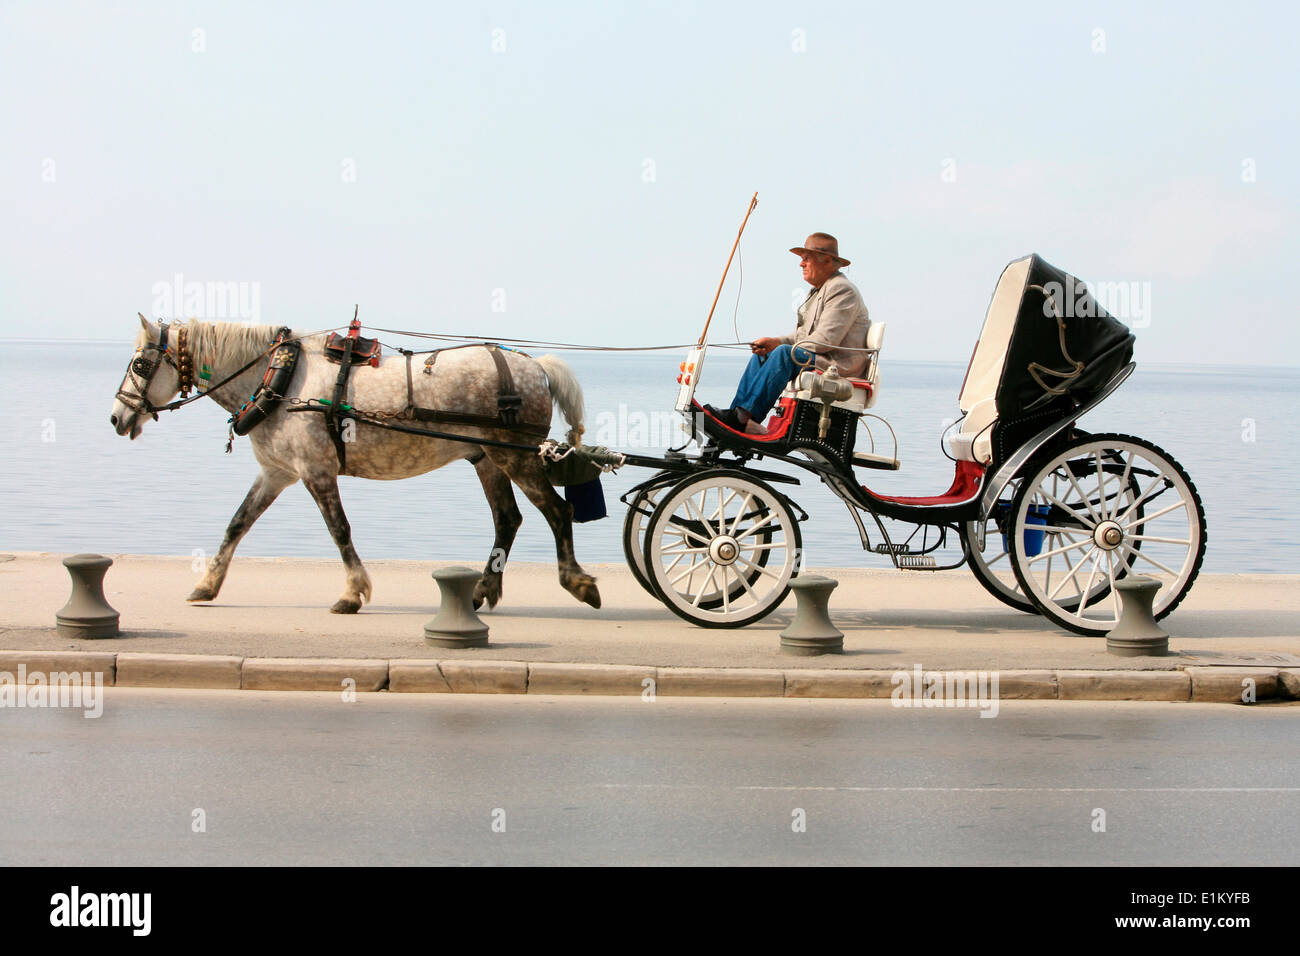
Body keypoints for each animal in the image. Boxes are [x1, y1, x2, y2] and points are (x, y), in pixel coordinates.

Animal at [109, 315, 601, 613]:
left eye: (139, 364)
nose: (116, 418)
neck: (280, 378)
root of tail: (533, 364)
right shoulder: (276, 473)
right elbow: (237, 525)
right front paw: (207, 584)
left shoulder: (315, 471)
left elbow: (339, 529)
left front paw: (352, 591)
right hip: (487, 459)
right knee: (508, 519)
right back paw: (485, 589)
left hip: (515, 456)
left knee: (557, 511)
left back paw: (577, 581)